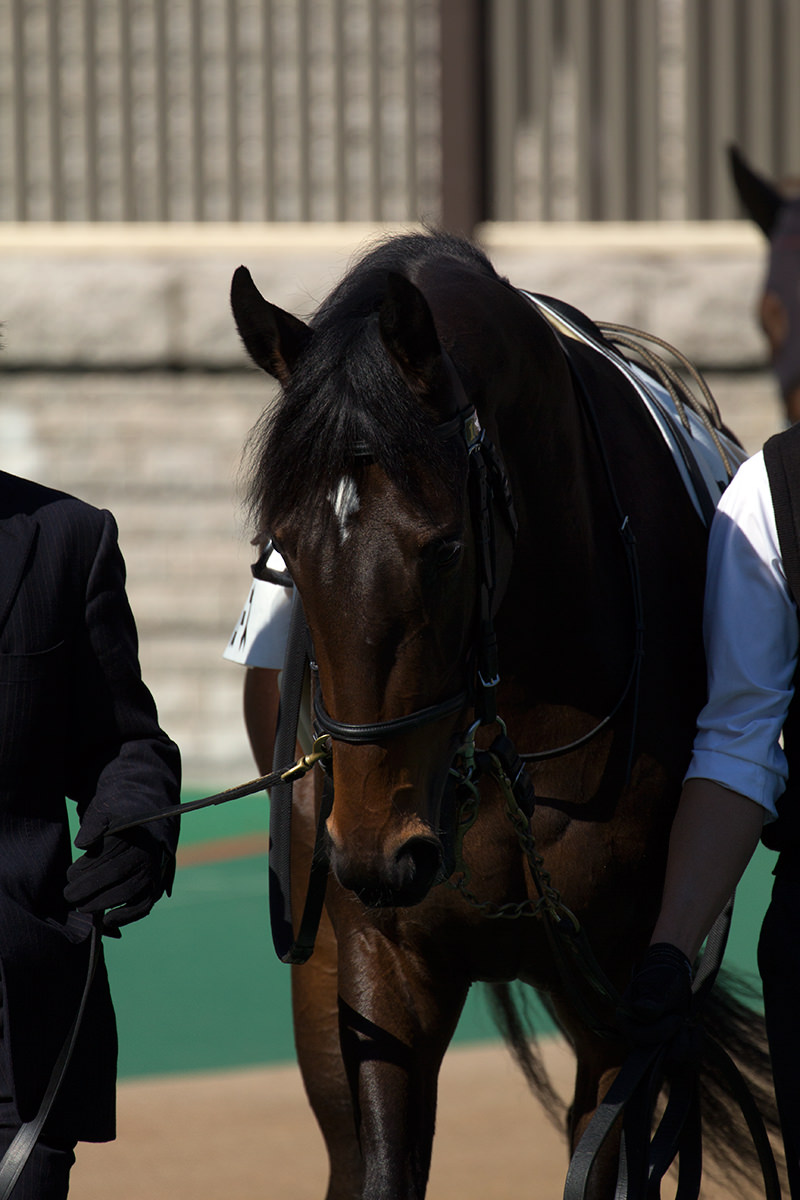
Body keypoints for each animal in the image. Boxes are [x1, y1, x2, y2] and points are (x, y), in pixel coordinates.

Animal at [232, 229, 782, 1195]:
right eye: (284, 551)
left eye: (446, 548)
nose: (376, 851)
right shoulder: (378, 960)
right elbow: (380, 1163)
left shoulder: (623, 988)